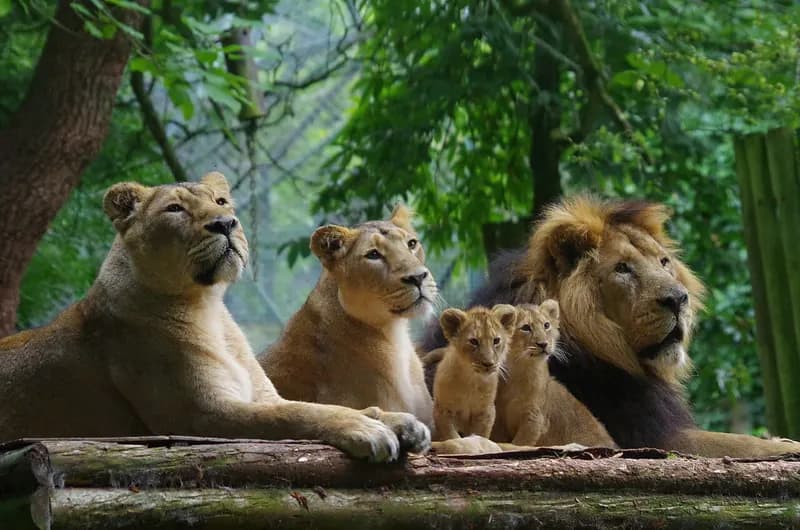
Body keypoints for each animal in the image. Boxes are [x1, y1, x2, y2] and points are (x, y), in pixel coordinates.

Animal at [430, 304, 516, 440]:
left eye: (496, 340)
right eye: (474, 341)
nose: (489, 363)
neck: (471, 380)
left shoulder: (486, 413)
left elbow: (481, 435)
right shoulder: (442, 410)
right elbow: (451, 436)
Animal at [493, 301, 616, 448]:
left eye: (546, 325)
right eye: (526, 327)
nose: (543, 344)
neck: (519, 370)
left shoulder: (535, 418)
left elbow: (521, 443)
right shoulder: (499, 419)